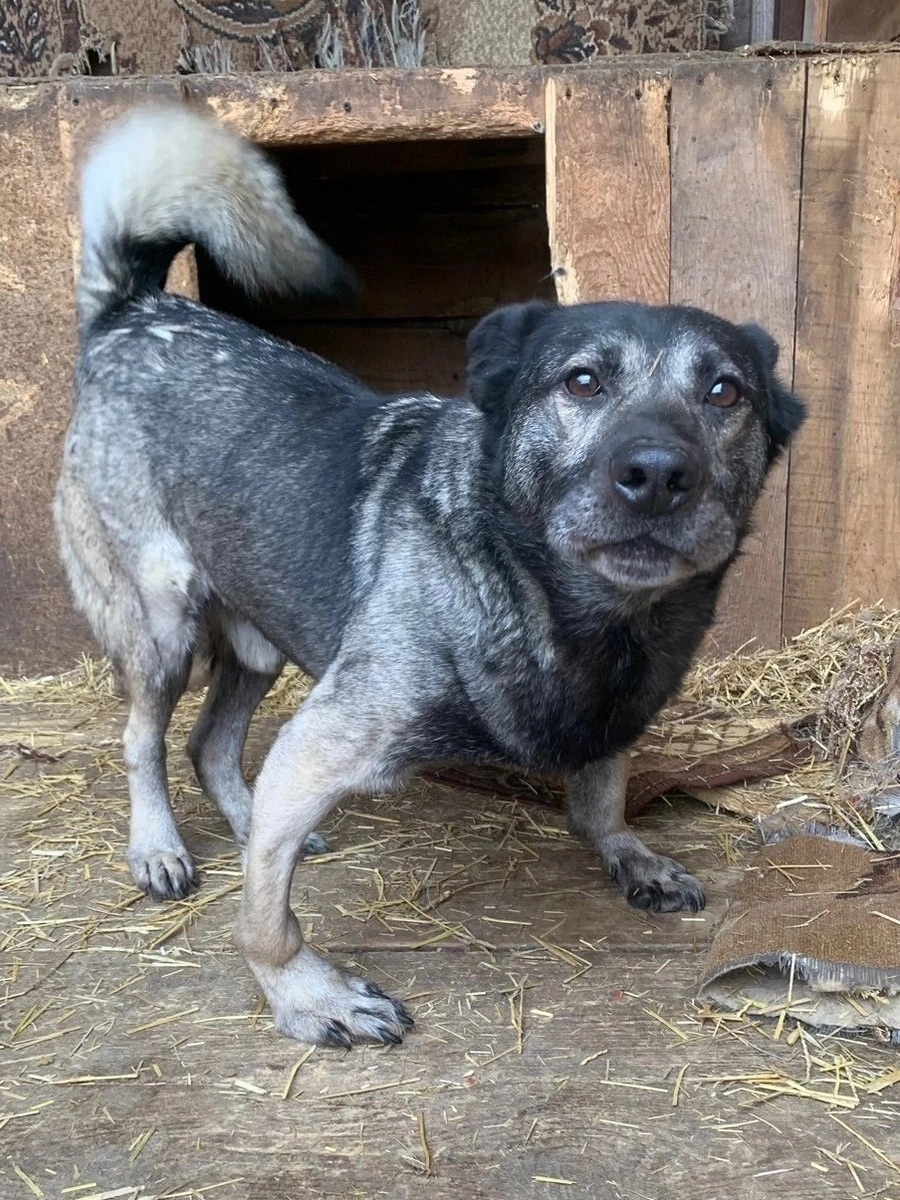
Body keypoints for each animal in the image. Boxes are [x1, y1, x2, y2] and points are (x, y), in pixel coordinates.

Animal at [55, 106, 805, 1047]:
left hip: (260, 641)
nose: (659, 475)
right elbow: (266, 922)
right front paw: (307, 995)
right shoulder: (317, 746)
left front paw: (631, 857)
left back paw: (254, 826)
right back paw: (160, 847)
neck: (559, 605)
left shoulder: (609, 716)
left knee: (210, 745)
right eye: (582, 382)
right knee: (144, 739)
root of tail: (134, 310)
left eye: (725, 393)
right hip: (164, 625)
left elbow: (601, 801)